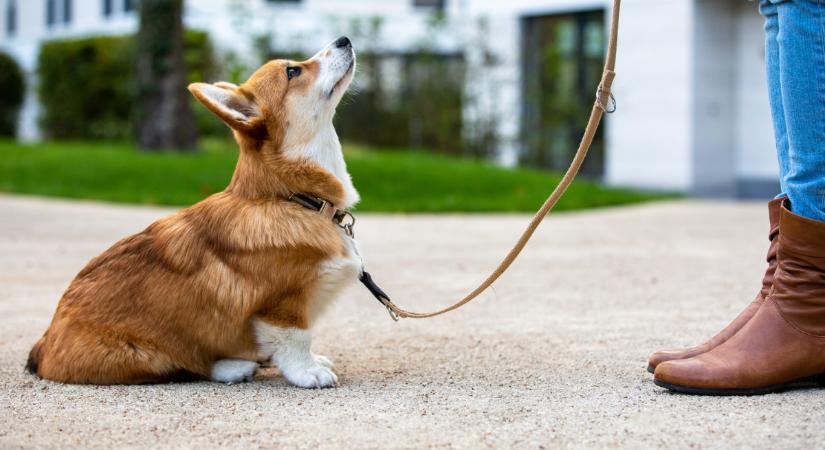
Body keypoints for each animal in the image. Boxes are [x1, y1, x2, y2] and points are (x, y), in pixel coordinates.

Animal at [27, 36, 360, 386]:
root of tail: (43, 346)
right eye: (293, 71)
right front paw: (308, 371)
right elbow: (296, 339)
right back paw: (234, 367)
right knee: (186, 365)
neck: (289, 196)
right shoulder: (282, 305)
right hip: (147, 354)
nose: (344, 39)